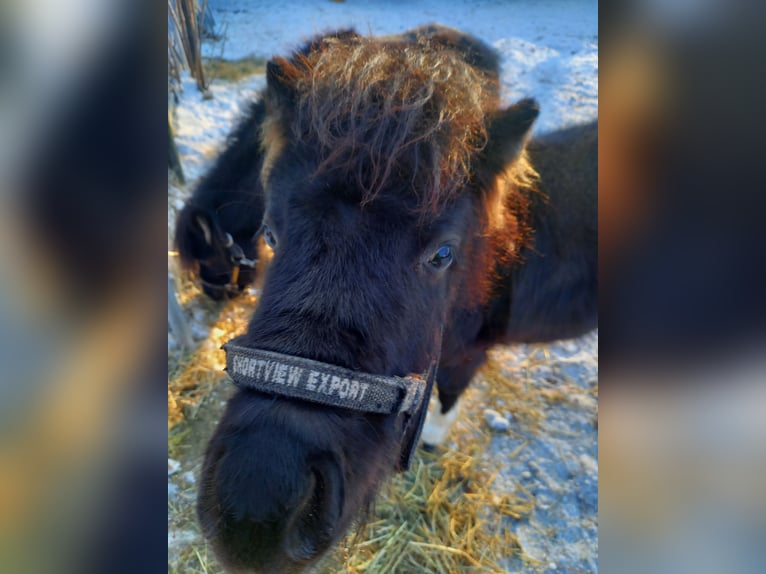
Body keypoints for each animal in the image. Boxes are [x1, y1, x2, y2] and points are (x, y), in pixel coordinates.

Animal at [196, 25, 597, 573]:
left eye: (442, 254)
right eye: (271, 234)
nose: (259, 502)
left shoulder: (466, 355)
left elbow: (447, 395)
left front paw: (432, 441)